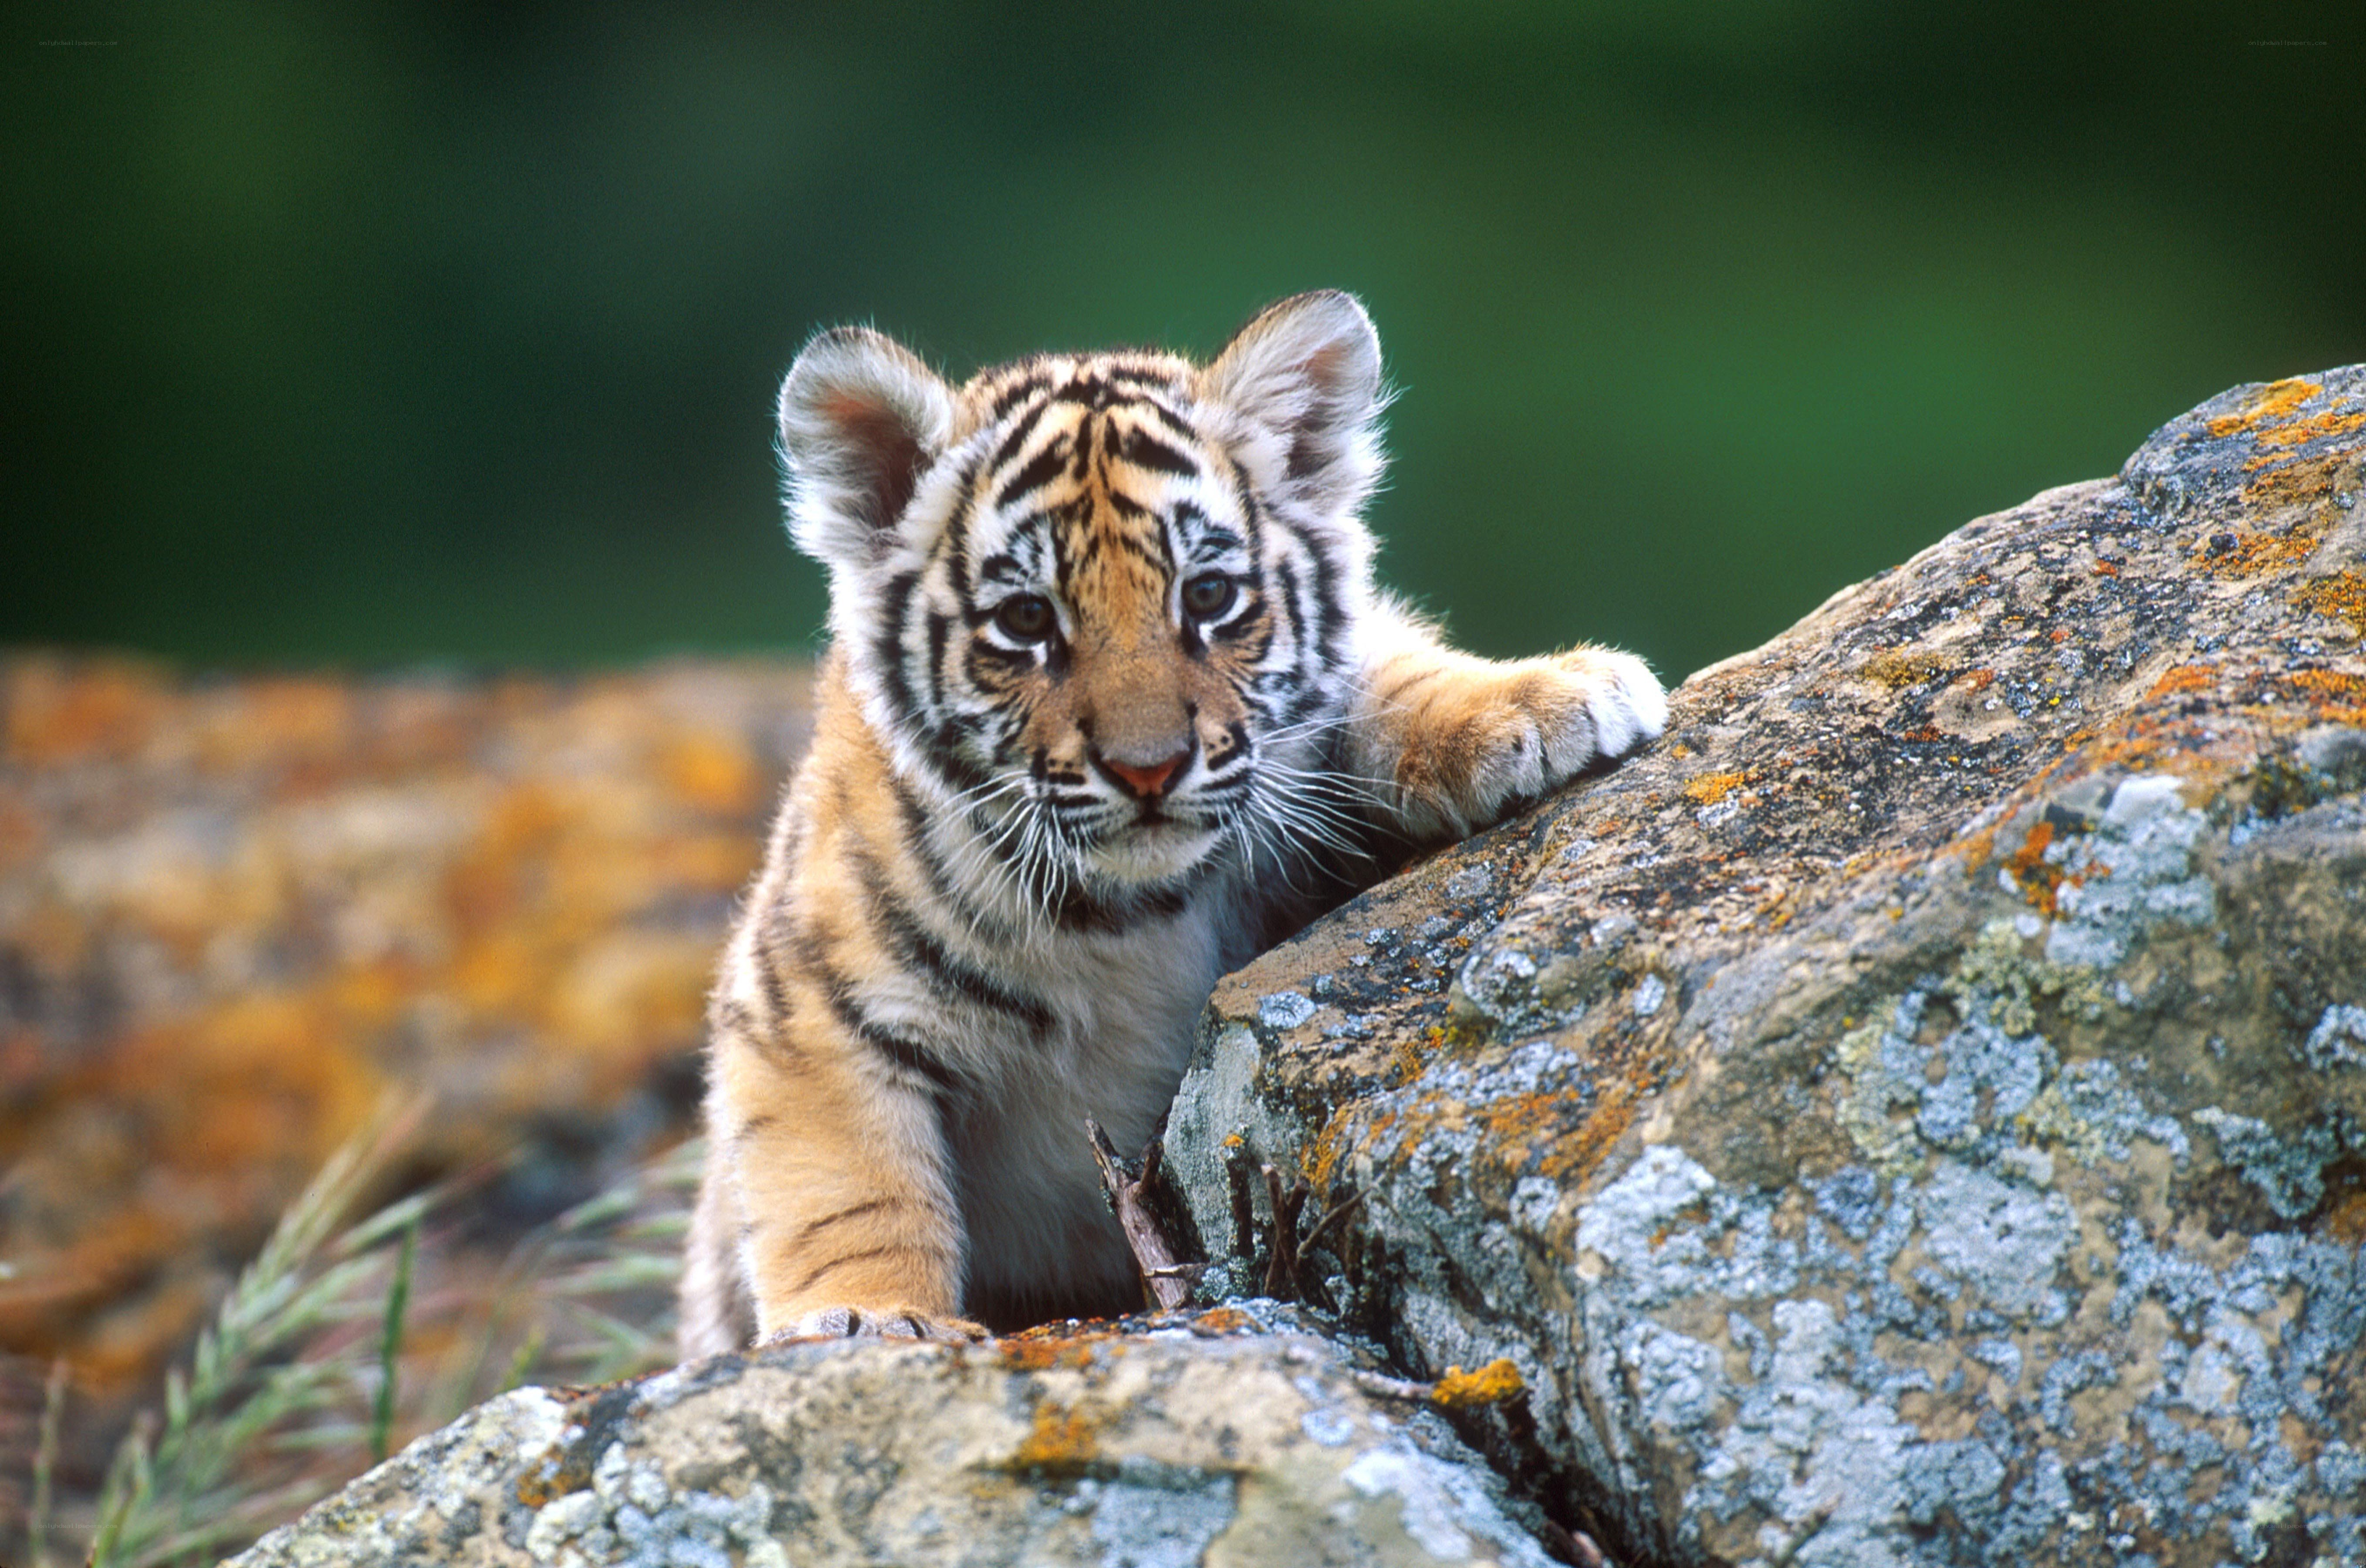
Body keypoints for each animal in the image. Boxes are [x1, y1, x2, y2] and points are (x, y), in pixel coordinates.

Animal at [678, 290, 1666, 1355]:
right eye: (1026, 621)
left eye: (1209, 595)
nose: (1147, 768)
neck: (1127, 917)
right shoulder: (803, 1007)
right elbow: (850, 1190)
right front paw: (869, 1319)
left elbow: (1386, 673)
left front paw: (1549, 699)